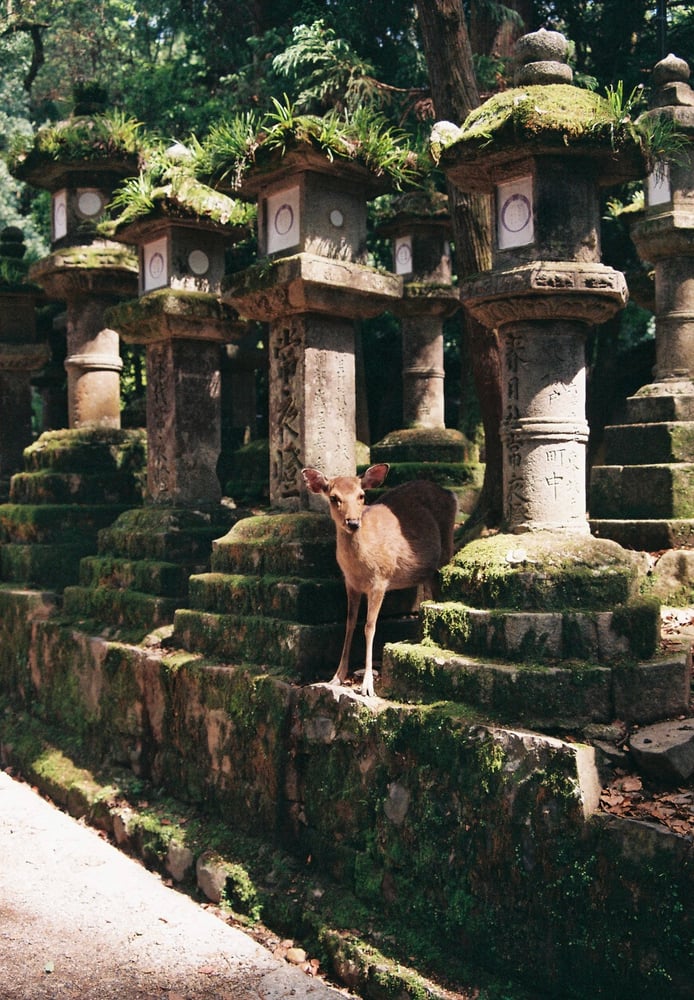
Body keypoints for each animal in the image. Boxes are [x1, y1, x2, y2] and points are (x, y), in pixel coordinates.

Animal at [302, 464, 460, 700]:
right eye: (334, 497)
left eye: (361, 495)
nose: (353, 522)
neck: (360, 565)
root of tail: (450, 493)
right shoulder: (350, 583)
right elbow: (349, 624)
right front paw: (336, 677)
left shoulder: (380, 580)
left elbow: (370, 626)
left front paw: (367, 686)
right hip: (427, 570)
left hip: (447, 548)